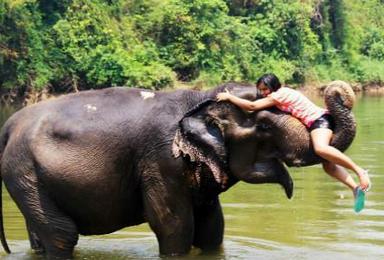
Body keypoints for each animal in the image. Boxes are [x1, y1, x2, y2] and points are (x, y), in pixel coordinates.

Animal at [0, 80, 356, 258]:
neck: (199, 99)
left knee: (44, 235)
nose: (338, 90)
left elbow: (212, 227)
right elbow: (174, 225)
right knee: (62, 236)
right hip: (24, 172)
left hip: (26, 176)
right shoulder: (161, 161)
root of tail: (10, 124)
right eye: (265, 127)